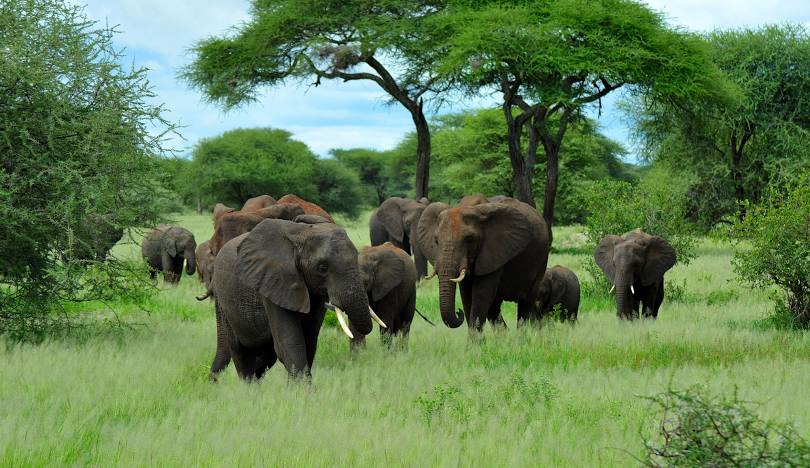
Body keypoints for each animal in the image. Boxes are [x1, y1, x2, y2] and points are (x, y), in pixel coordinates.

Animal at [207, 218, 374, 380]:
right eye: (322, 268)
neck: (301, 234)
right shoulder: (274, 282)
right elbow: (290, 343)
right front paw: (302, 389)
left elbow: (309, 341)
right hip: (223, 302)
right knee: (240, 350)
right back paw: (249, 386)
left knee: (267, 354)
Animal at [416, 199, 548, 330]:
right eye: (436, 240)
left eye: (469, 239)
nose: (458, 312)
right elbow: (466, 294)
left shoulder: (495, 252)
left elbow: (481, 295)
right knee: (495, 307)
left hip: (541, 260)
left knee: (526, 303)